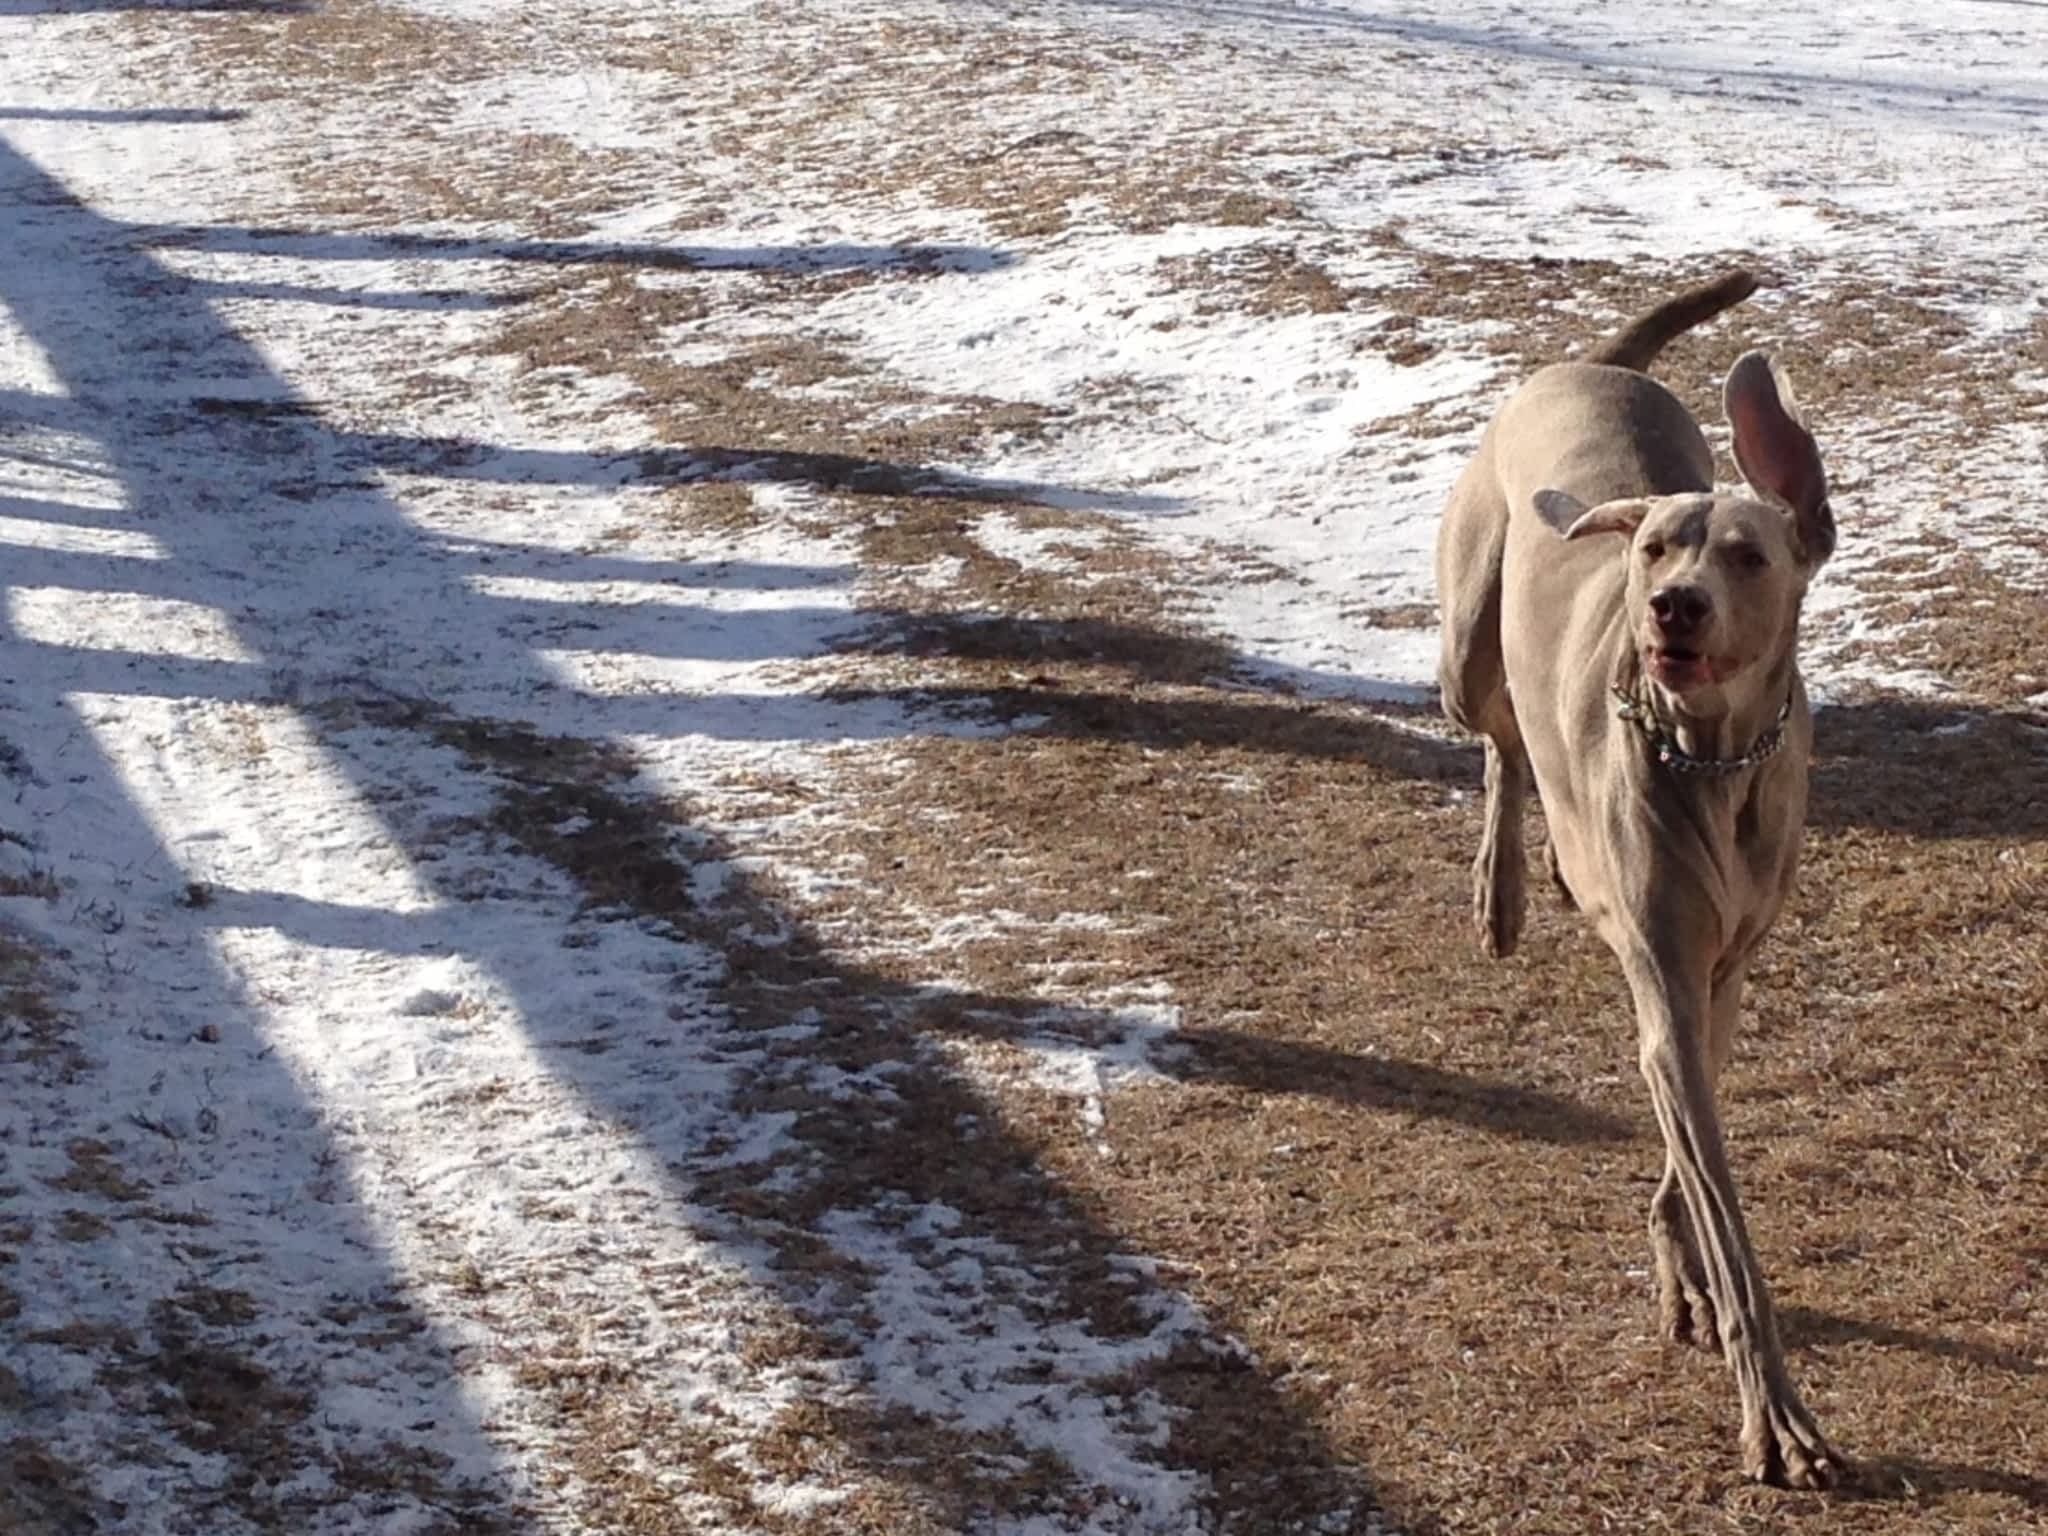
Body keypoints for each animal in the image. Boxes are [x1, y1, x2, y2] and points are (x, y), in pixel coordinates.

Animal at [1441, 270, 1843, 1482]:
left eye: (1747, 557)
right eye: (1658, 551)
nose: (1671, 606)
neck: (1712, 759)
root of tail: (1593, 361)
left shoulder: (1716, 974)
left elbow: (1687, 1142)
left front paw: (1682, 1271)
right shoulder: (1667, 979)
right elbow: (1723, 1209)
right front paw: (1779, 1420)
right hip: (1466, 642)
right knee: (1499, 738)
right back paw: (1502, 891)